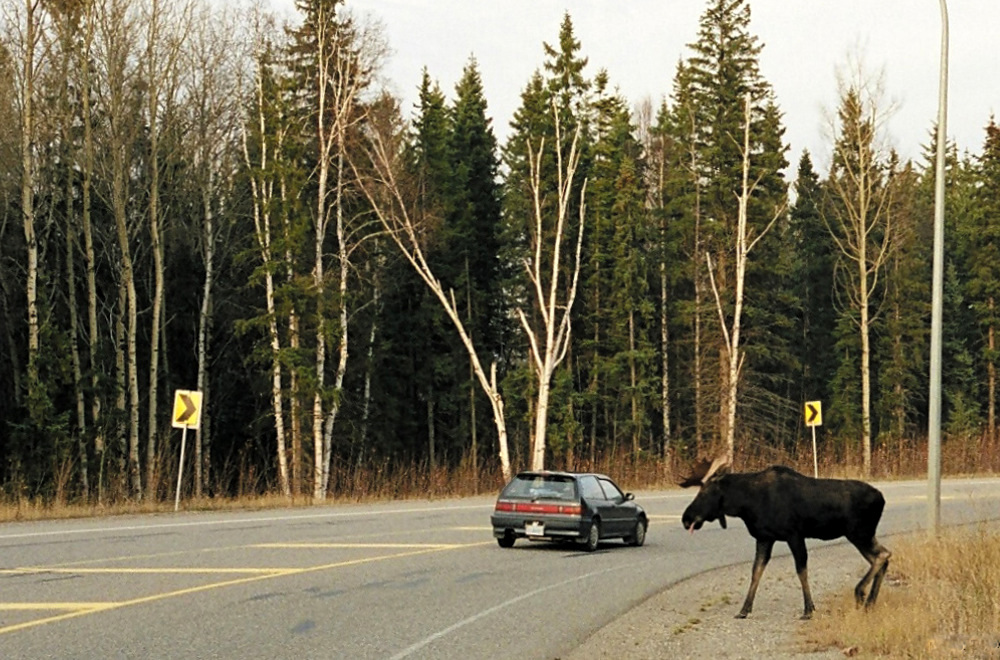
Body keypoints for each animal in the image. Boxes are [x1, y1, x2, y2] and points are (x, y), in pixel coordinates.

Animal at [680, 456, 892, 620]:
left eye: (705, 493)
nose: (686, 518)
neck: (746, 504)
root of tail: (882, 498)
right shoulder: (764, 538)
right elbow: (756, 571)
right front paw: (744, 609)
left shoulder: (794, 534)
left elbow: (801, 570)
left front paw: (808, 609)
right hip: (862, 534)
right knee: (883, 556)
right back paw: (870, 602)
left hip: (859, 533)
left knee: (882, 555)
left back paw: (860, 593)